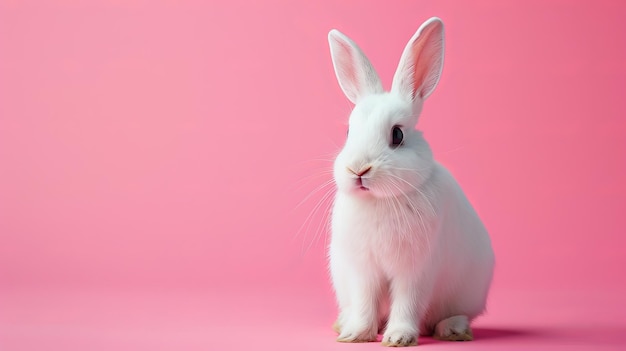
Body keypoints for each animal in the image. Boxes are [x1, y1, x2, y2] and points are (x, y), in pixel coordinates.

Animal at [326, 17, 492, 346]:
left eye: (397, 134)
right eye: (349, 132)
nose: (358, 169)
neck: (380, 201)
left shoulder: (415, 271)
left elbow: (407, 302)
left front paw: (399, 338)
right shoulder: (363, 270)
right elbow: (364, 303)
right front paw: (356, 334)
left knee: (452, 315)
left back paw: (453, 330)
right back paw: (343, 323)